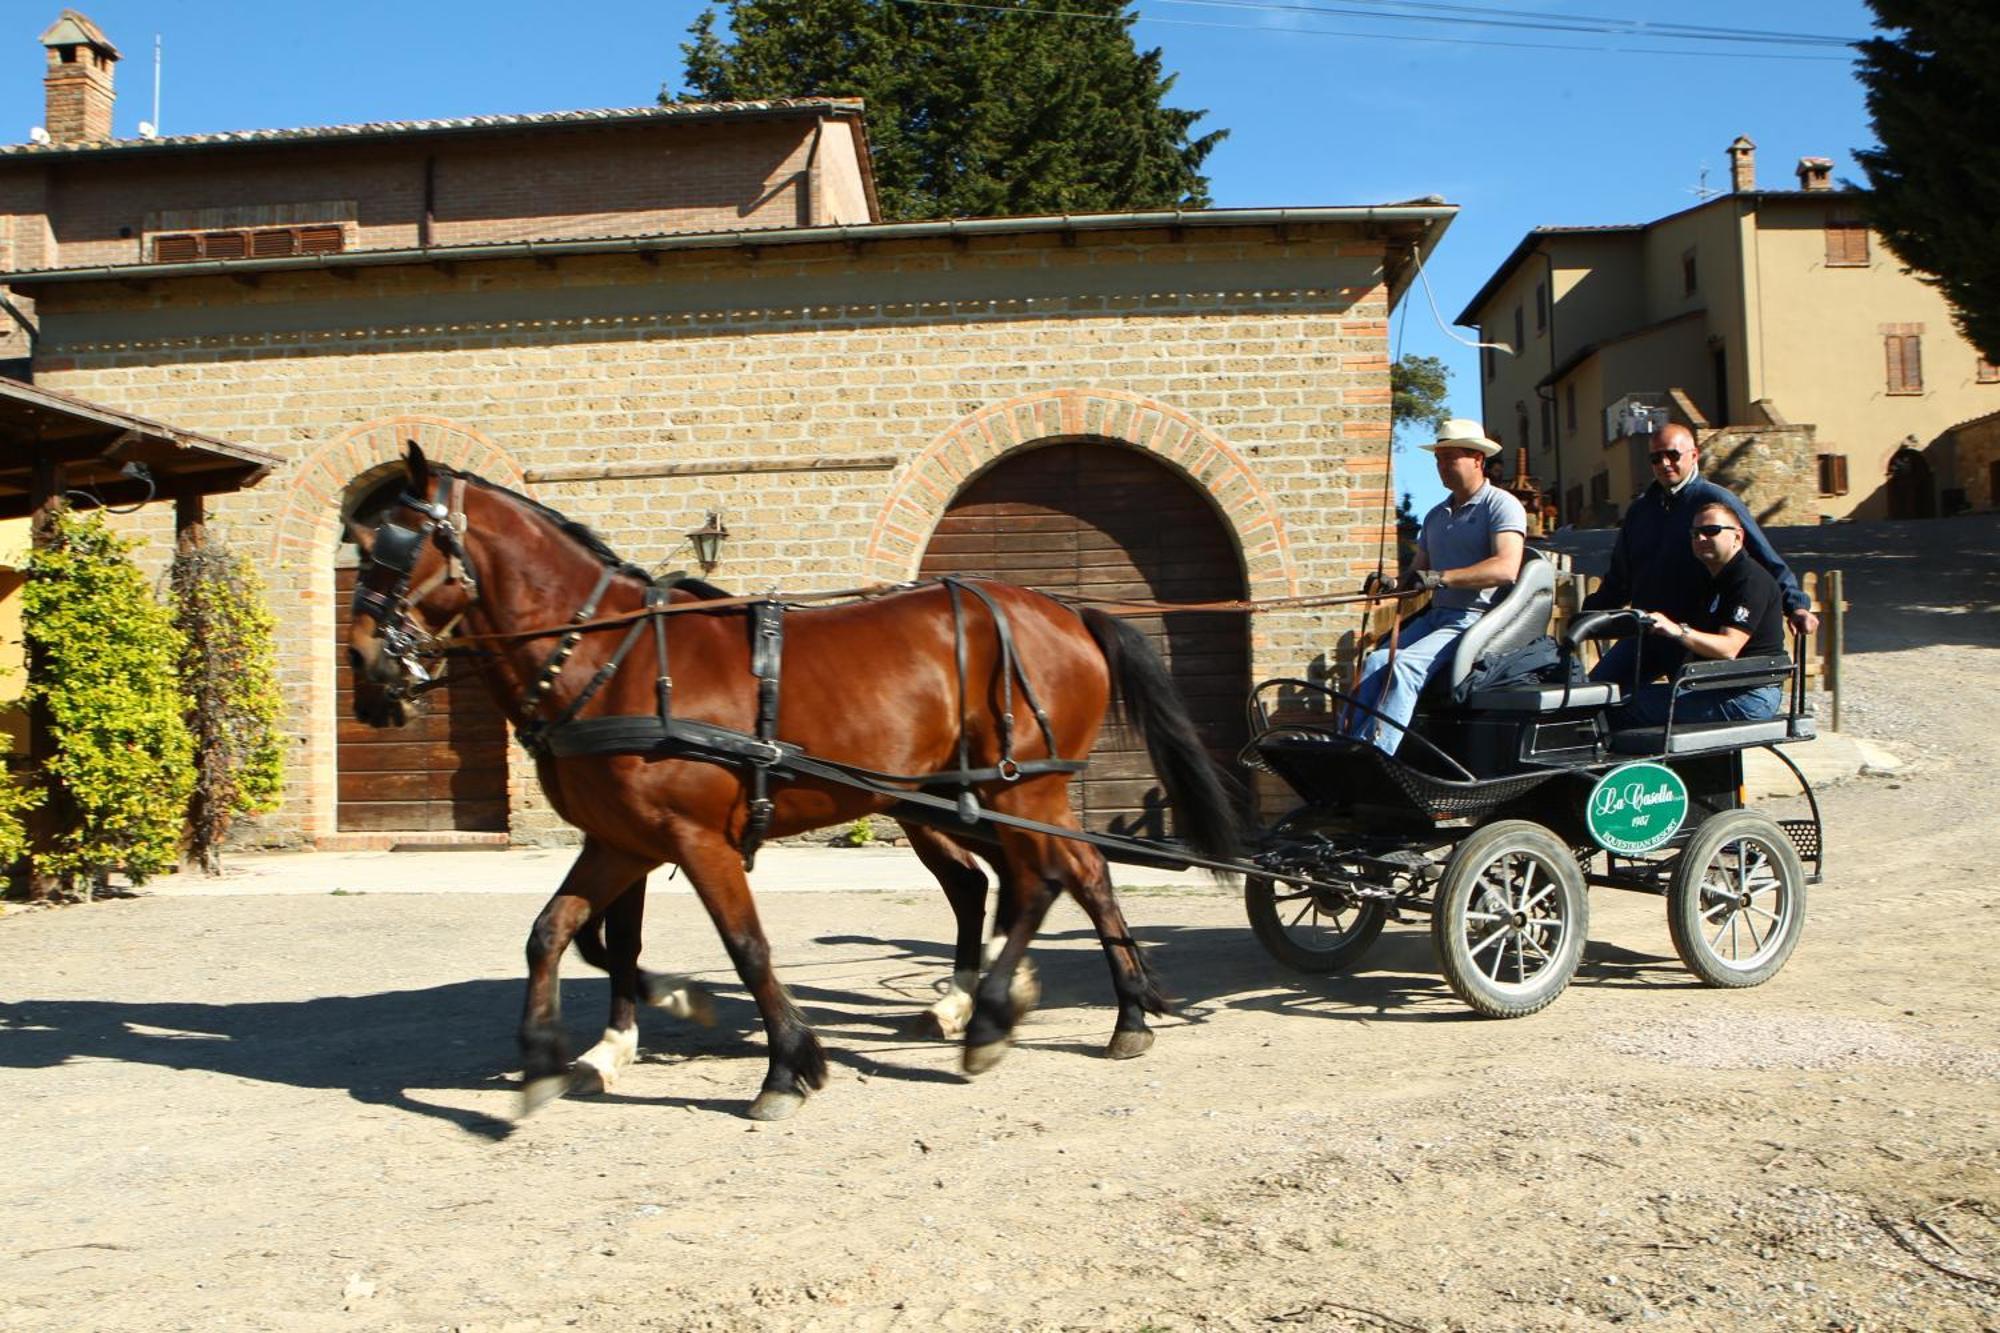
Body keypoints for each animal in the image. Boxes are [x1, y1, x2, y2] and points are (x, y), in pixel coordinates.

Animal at [352, 440, 1240, 1112]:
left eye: (393, 545)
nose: (365, 667)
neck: (612, 655)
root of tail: (1063, 608)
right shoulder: (622, 839)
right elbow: (560, 931)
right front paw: (560, 1050)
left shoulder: (691, 837)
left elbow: (743, 943)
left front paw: (785, 1061)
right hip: (976, 796)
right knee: (1055, 877)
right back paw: (1104, 1009)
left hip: (1020, 786)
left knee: (1051, 877)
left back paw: (998, 1014)